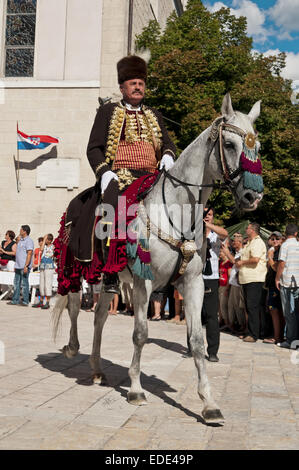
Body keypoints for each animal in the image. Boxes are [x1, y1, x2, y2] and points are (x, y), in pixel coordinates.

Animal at [52, 93, 264, 424]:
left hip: (110, 279)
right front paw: (137, 390)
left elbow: (197, 342)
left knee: (99, 317)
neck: (177, 212)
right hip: (78, 267)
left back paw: (98, 369)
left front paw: (209, 403)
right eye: (230, 144)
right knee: (74, 306)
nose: (253, 197)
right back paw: (73, 349)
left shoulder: (192, 284)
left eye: (258, 146)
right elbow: (140, 334)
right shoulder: (144, 282)